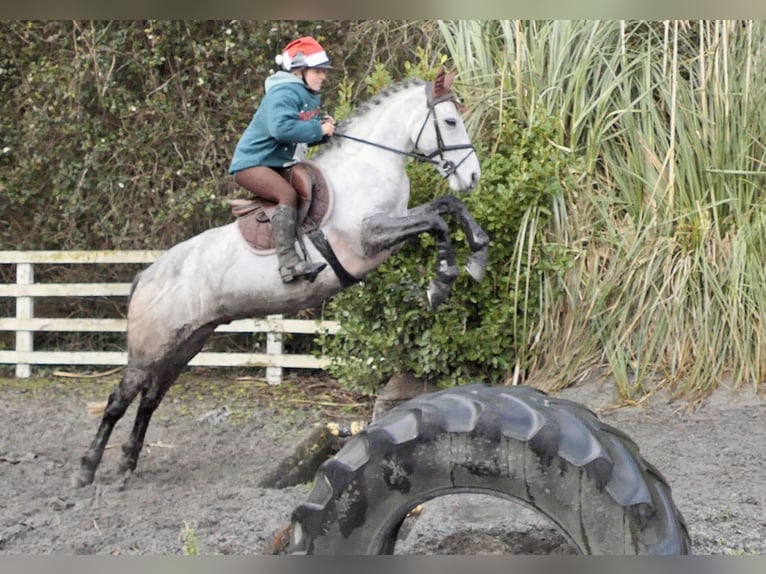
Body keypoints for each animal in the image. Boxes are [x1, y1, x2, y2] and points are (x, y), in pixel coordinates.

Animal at [73, 68, 489, 487]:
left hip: (186, 343)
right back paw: (87, 468)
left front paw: (476, 254)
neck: (370, 164)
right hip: (150, 349)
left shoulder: (393, 224)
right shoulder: (369, 239)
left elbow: (446, 206)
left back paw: (127, 461)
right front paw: (442, 280)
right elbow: (436, 221)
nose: (472, 176)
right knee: (120, 400)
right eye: (450, 122)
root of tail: (147, 275)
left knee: (150, 398)